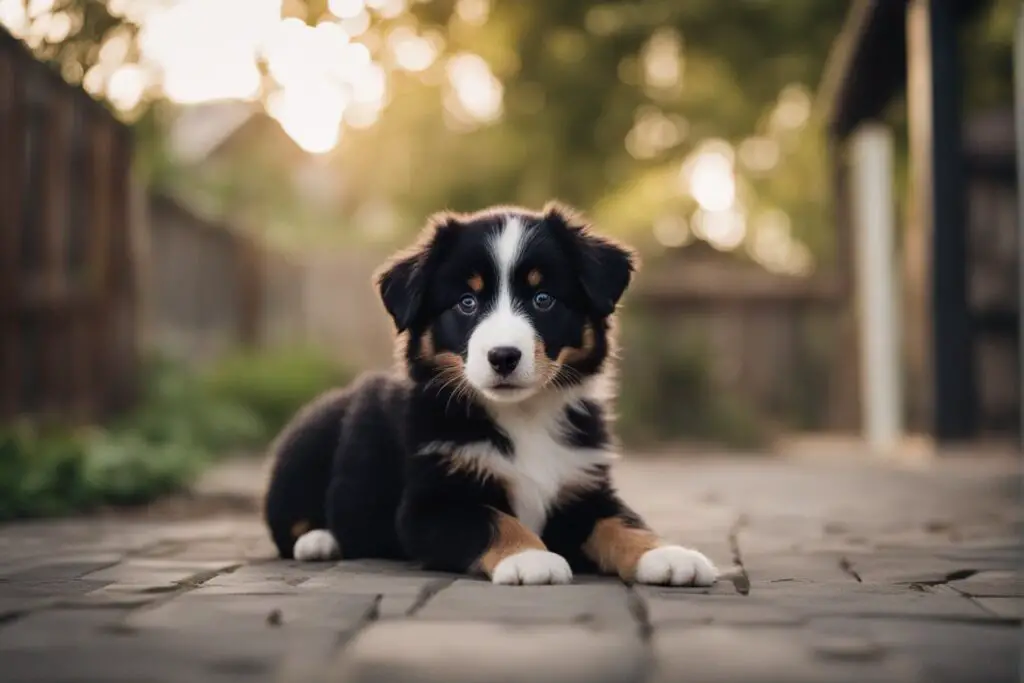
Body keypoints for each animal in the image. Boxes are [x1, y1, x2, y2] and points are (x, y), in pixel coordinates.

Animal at [260, 202, 716, 589]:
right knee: (287, 523)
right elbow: (493, 519)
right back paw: (320, 540)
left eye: (543, 298)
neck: (524, 415)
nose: (503, 356)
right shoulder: (431, 504)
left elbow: (623, 522)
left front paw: (668, 555)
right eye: (467, 302)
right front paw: (530, 558)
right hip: (309, 439)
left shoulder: (584, 487)